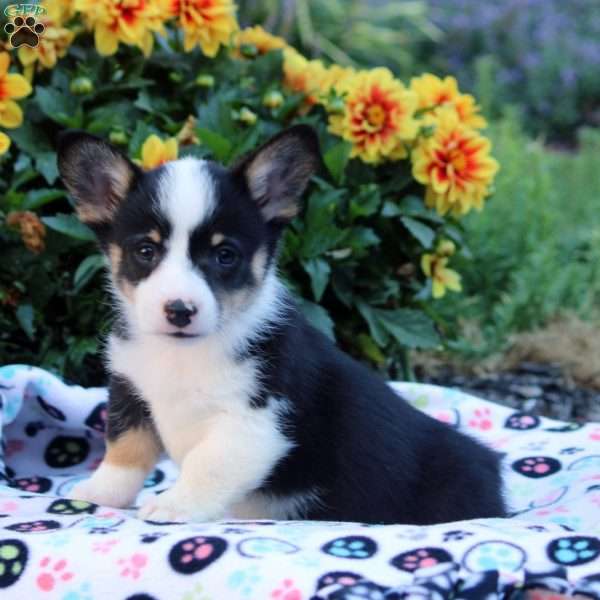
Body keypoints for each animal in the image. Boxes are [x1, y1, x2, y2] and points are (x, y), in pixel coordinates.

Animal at [57, 126, 506, 524]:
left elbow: (207, 463)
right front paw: (97, 493)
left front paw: (174, 505)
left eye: (225, 255)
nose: (180, 310)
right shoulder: (131, 392)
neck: (185, 353)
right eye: (146, 251)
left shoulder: (256, 424)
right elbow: (124, 449)